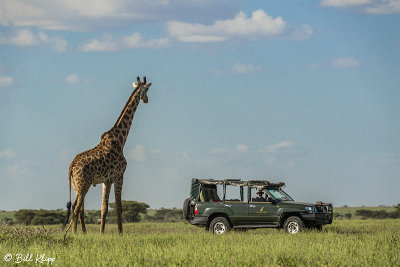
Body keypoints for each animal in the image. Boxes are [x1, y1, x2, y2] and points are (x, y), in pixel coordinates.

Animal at [63, 76, 152, 240]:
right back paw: (73, 234)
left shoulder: (106, 180)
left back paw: (80, 233)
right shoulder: (118, 176)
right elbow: (118, 206)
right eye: (147, 89)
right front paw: (120, 232)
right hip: (83, 184)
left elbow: (104, 208)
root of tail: (71, 167)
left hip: (77, 185)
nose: (147, 100)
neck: (121, 140)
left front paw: (102, 232)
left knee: (78, 208)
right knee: (76, 208)